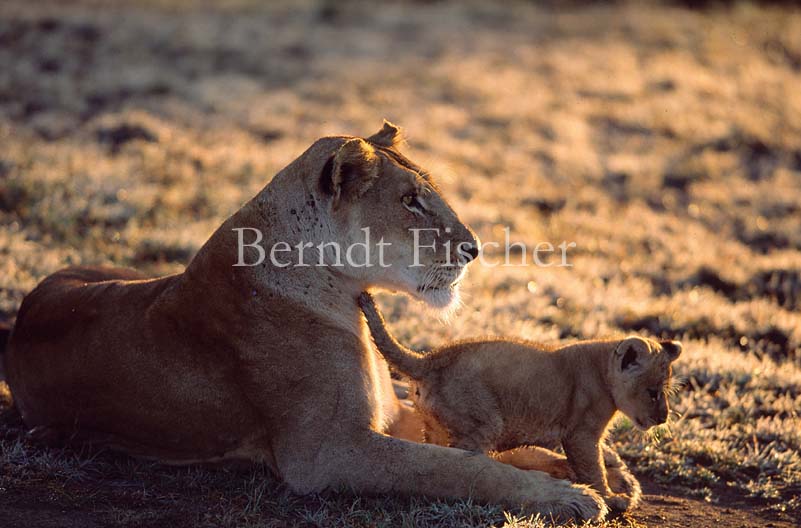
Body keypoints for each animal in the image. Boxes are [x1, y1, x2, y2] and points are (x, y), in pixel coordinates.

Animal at [2, 122, 608, 522]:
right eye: (411, 200)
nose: (475, 249)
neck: (341, 290)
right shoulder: (326, 452)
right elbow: (457, 468)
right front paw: (569, 497)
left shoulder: (386, 415)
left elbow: (475, 451)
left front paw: (580, 472)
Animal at [359, 291, 683, 511]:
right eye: (653, 392)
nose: (664, 418)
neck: (602, 369)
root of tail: (428, 360)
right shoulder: (580, 434)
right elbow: (593, 469)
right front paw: (610, 498)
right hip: (484, 422)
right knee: (465, 464)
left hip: (438, 426)